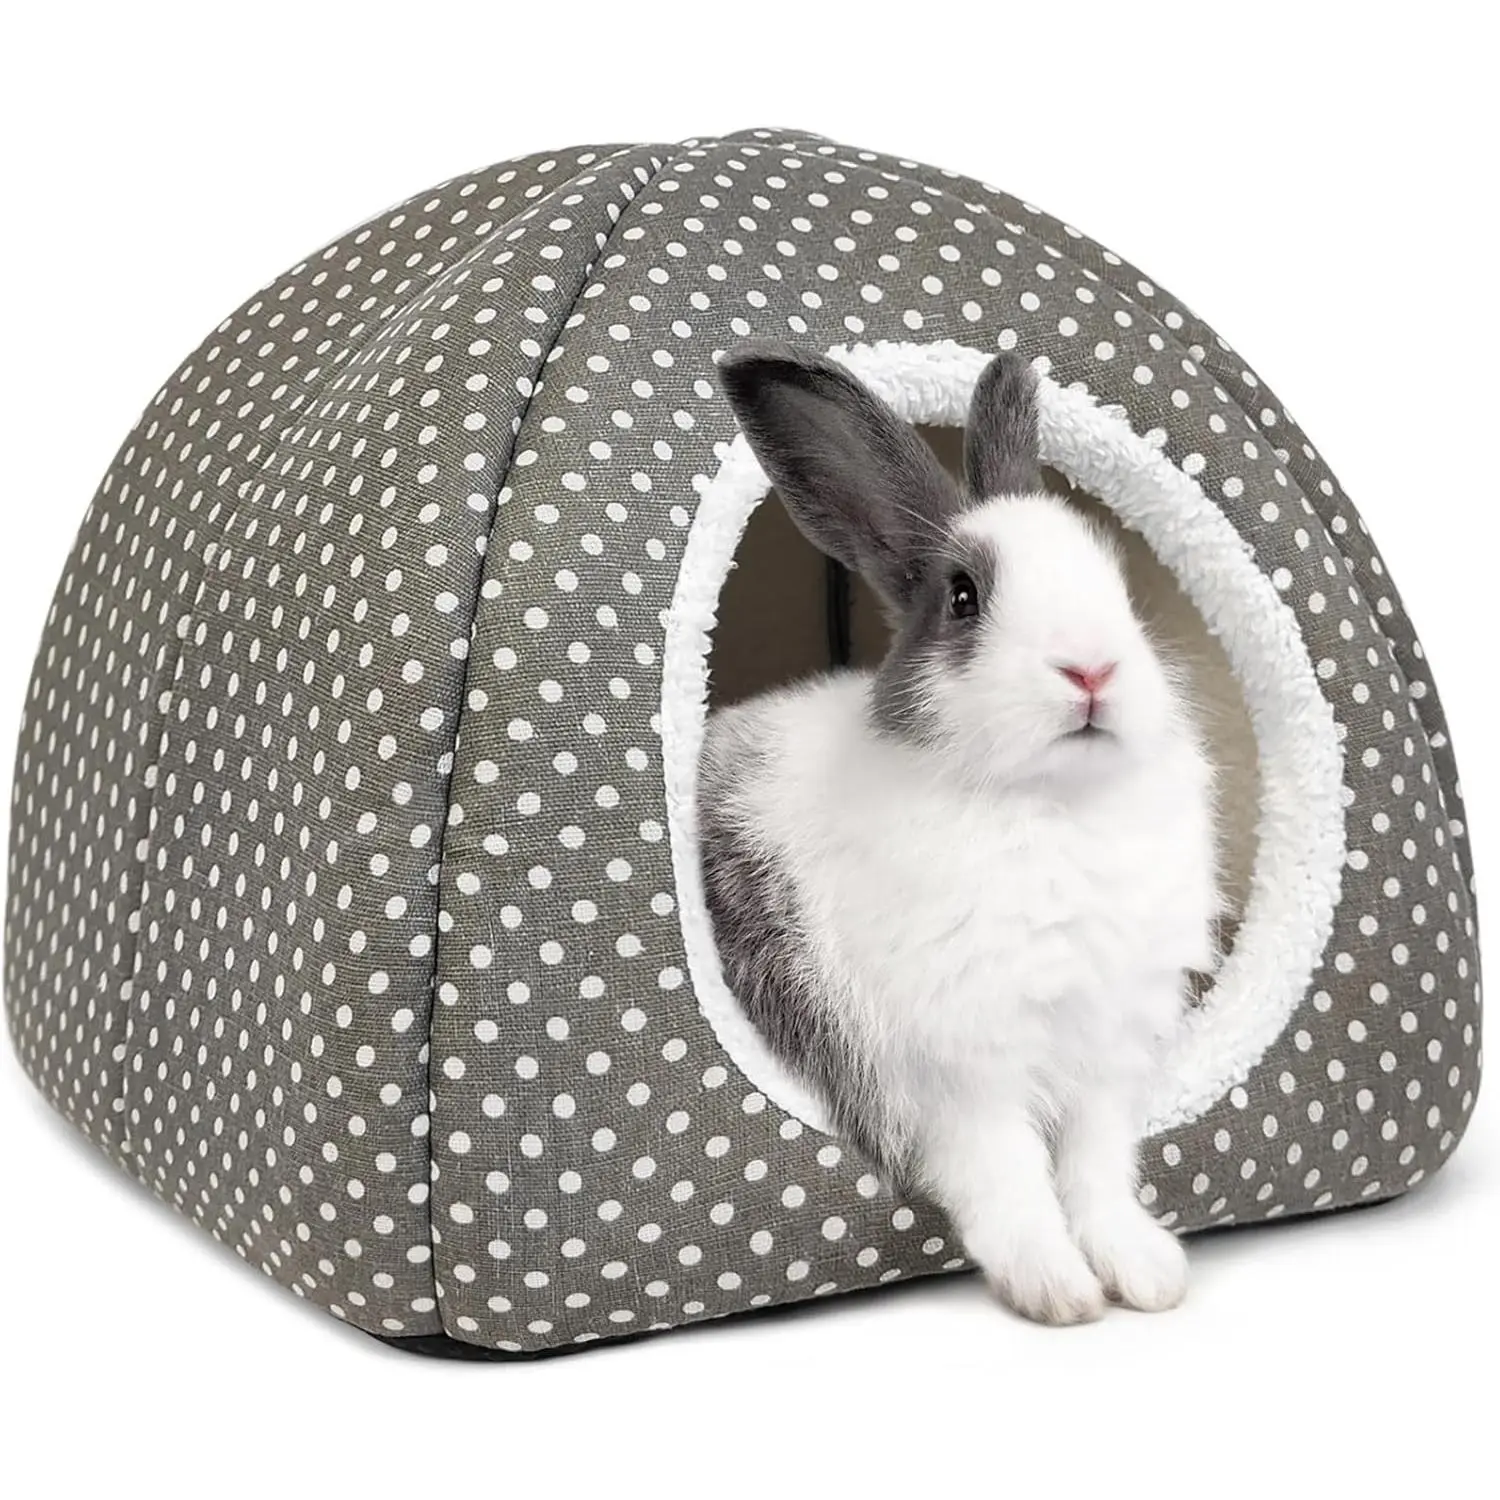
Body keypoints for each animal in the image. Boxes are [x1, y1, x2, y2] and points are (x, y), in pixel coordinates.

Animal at [698, 343, 1222, 1324]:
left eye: (1118, 582)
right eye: (964, 597)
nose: (1092, 669)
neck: (1051, 804)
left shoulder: (1106, 1060)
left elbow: (1098, 1172)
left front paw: (1146, 1274)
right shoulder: (959, 1070)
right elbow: (1008, 1176)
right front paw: (1058, 1292)